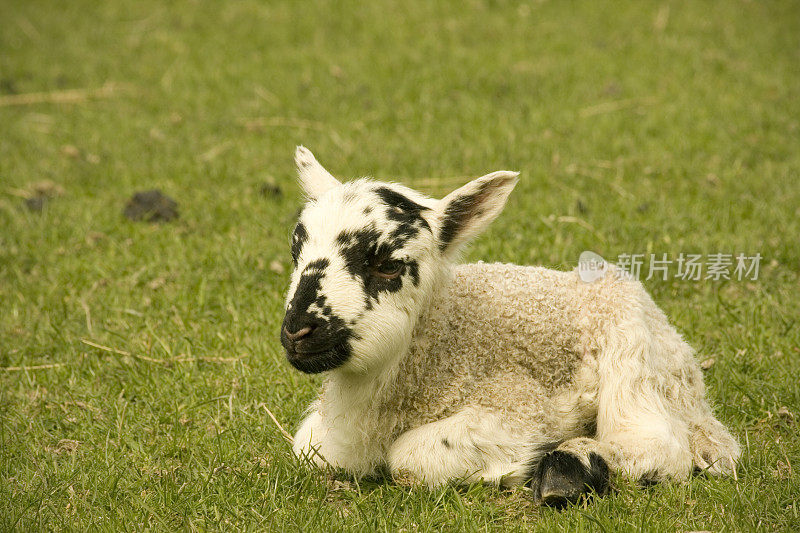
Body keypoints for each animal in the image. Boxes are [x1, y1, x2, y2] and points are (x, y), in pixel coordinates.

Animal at [278, 148, 740, 504]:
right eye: (297, 249)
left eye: (389, 264)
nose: (297, 331)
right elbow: (309, 447)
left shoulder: (518, 404)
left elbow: (410, 457)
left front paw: (532, 459)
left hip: (632, 357)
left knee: (655, 447)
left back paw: (567, 469)